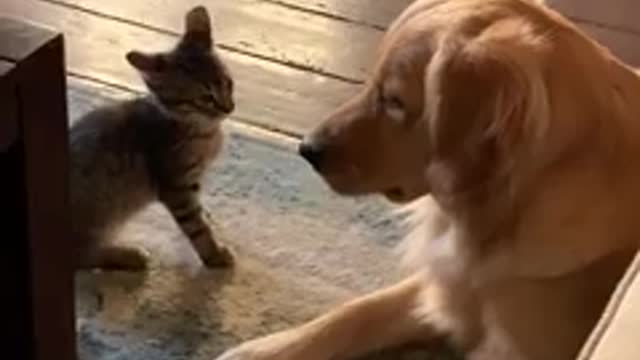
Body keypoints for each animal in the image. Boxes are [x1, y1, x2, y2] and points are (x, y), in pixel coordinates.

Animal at [70, 5, 235, 270]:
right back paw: (128, 255)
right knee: (81, 258)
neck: (203, 131)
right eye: (206, 98)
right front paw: (215, 254)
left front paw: (208, 218)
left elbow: (200, 212)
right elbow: (197, 228)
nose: (229, 108)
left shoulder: (192, 182)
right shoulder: (176, 188)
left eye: (228, 84)